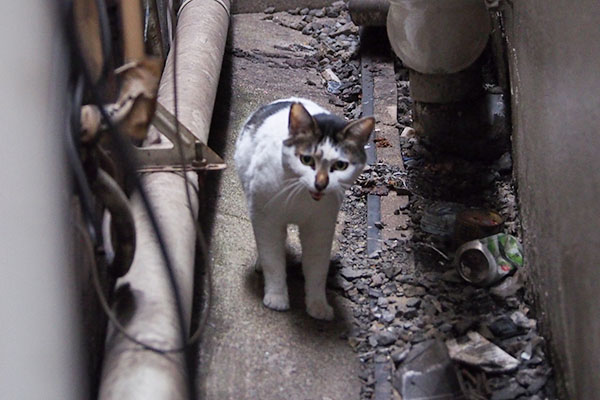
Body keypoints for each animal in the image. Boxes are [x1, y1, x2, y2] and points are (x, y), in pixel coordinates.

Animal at [236, 98, 372, 320]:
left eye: (341, 165)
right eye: (306, 160)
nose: (321, 184)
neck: (301, 198)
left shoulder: (320, 229)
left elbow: (317, 270)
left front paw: (318, 305)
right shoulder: (267, 220)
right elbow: (273, 261)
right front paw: (276, 298)